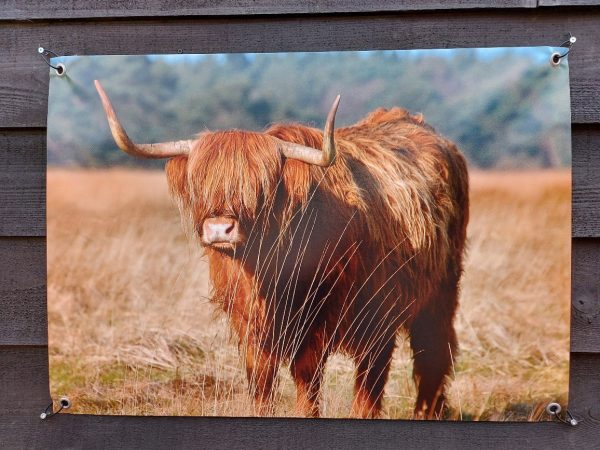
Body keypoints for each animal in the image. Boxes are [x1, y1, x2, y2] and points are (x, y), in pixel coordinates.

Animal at [95, 80, 468, 418]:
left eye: (261, 187)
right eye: (201, 184)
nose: (219, 229)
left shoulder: (319, 318)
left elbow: (307, 376)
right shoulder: (249, 320)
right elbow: (261, 380)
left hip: (428, 296)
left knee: (419, 359)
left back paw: (423, 412)